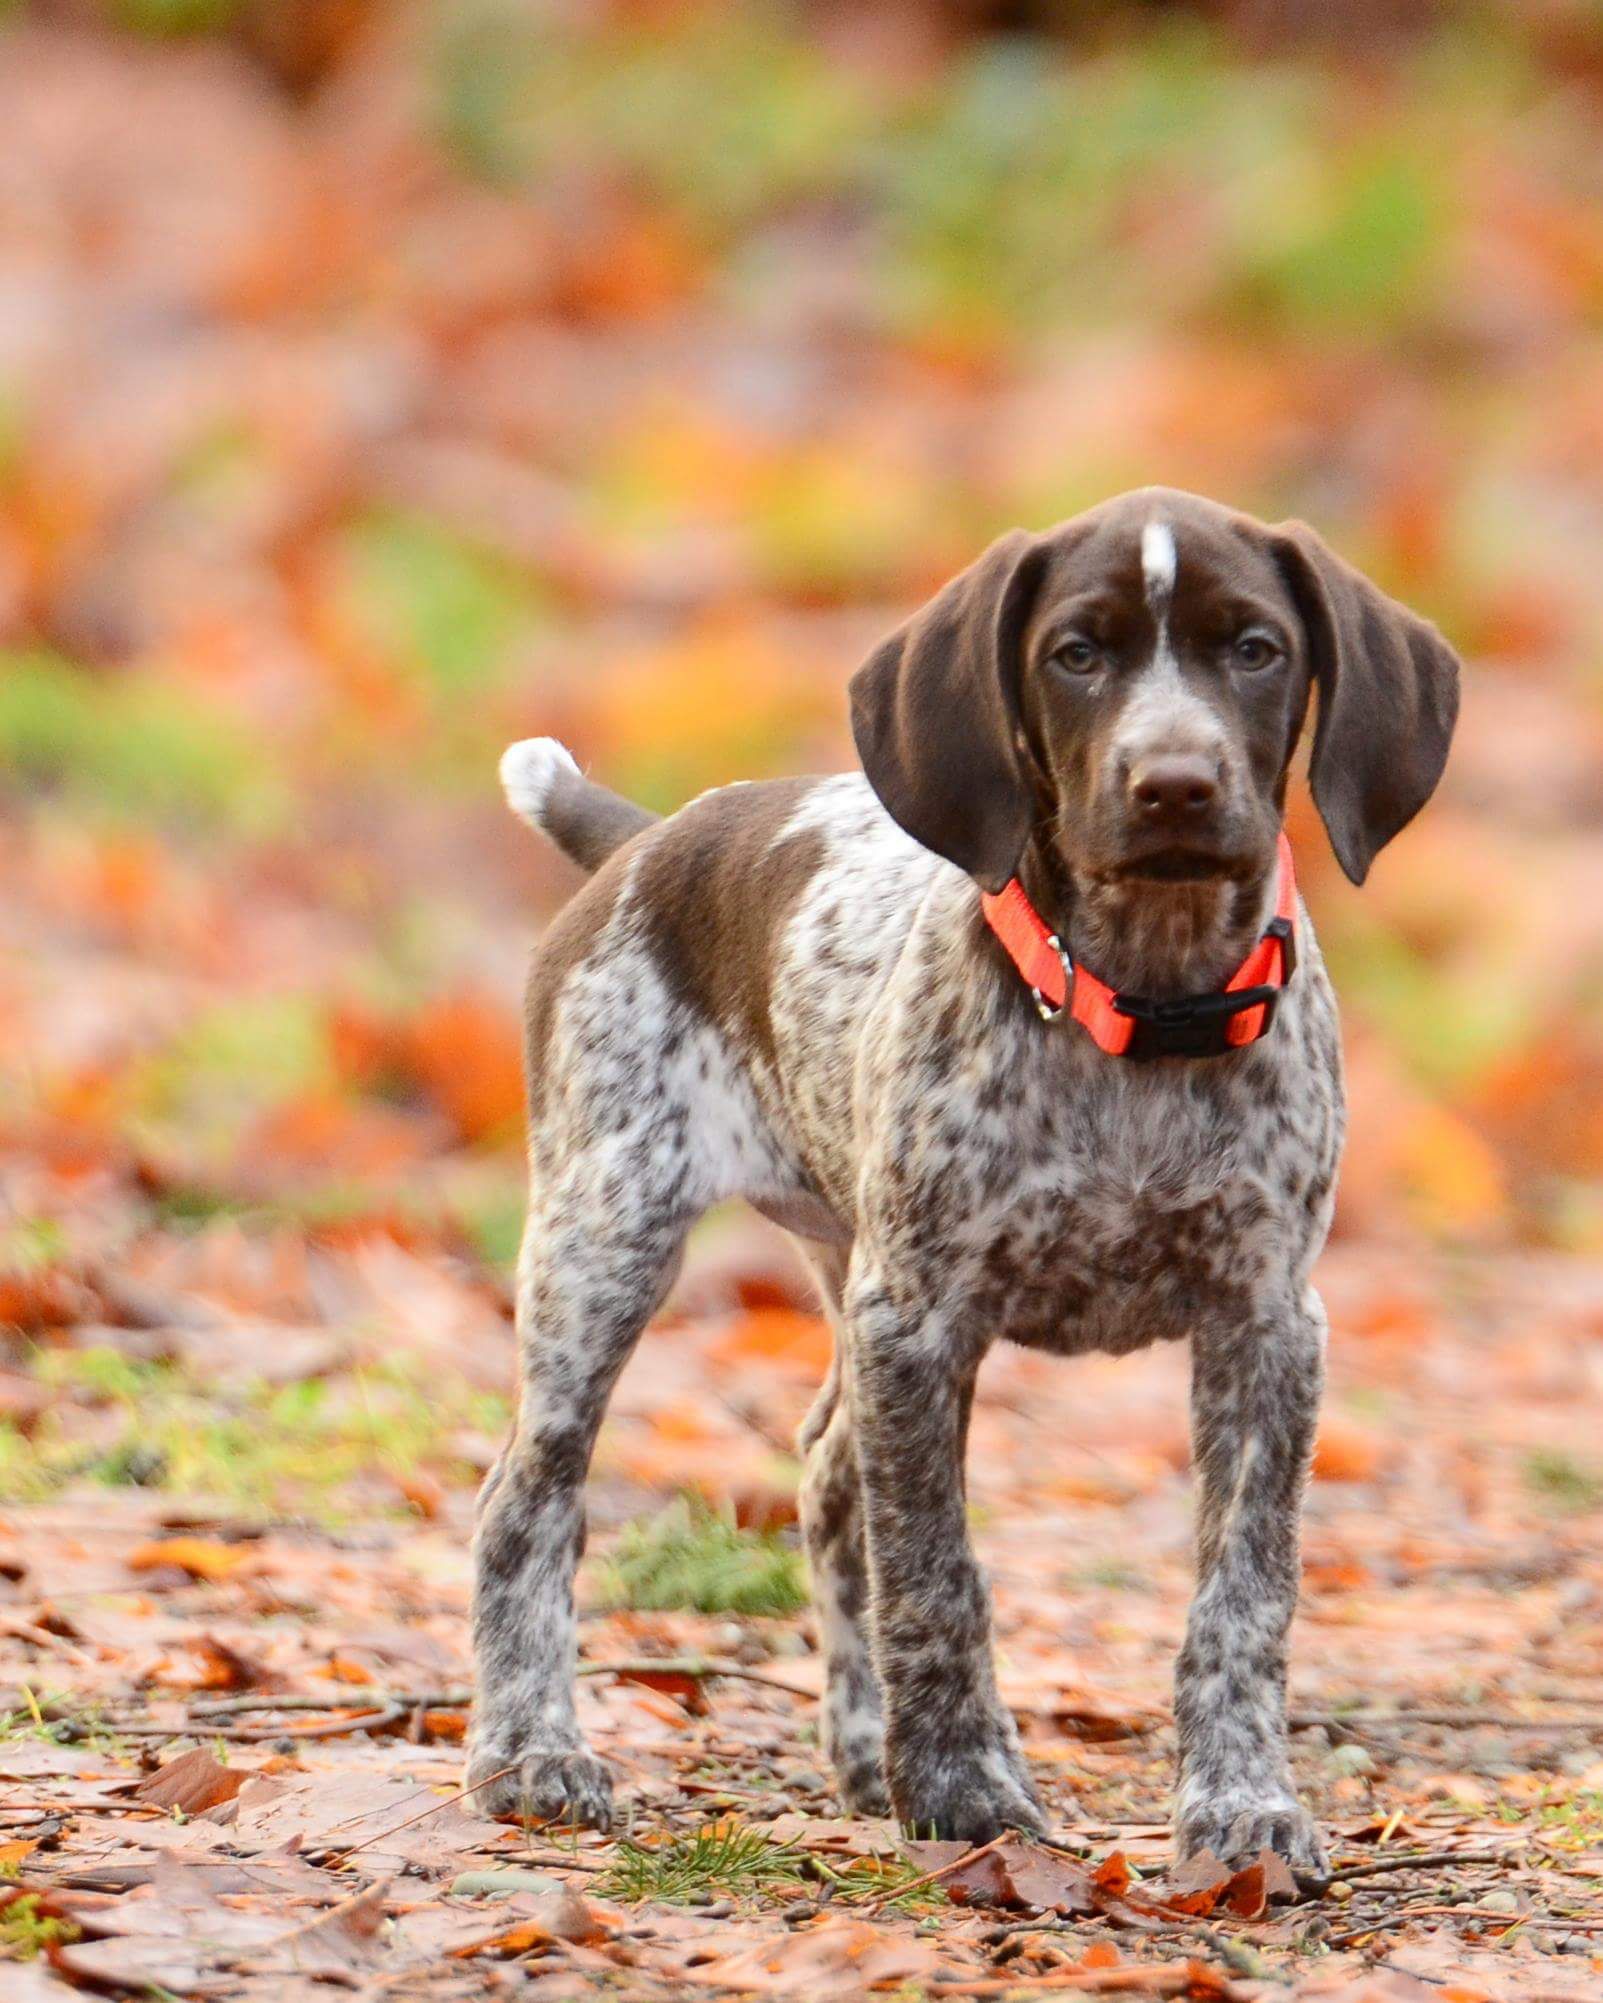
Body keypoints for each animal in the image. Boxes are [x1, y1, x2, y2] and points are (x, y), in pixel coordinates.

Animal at [468, 492, 1458, 1866]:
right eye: (1075, 654)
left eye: (1255, 649)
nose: (1174, 783)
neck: (1145, 1007)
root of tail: (647, 842)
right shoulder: (923, 1316)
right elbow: (934, 1568)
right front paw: (961, 1789)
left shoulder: (1266, 1323)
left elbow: (1243, 1591)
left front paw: (1243, 1805)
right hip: (604, 1236)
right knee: (530, 1496)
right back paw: (533, 1753)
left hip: (836, 1257)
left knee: (830, 1474)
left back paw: (854, 1747)